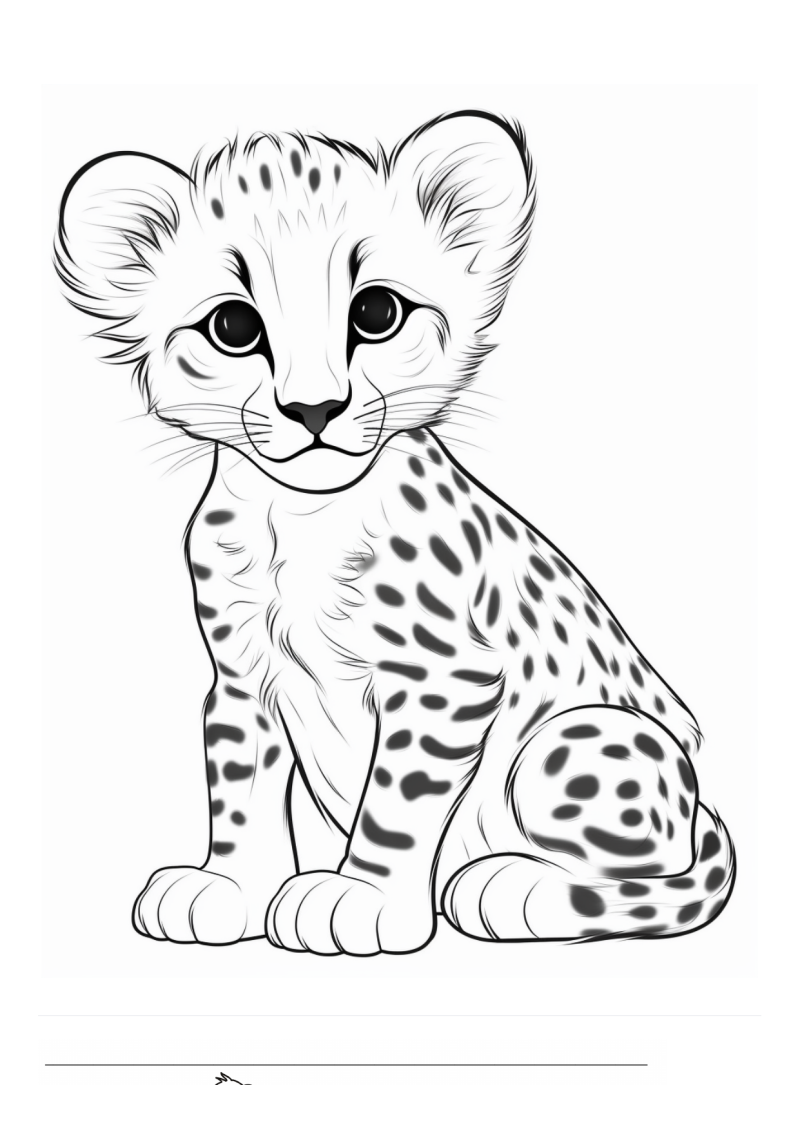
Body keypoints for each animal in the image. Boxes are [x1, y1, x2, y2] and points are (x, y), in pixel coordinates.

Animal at [54, 110, 735, 954]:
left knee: (659, 871)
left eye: (375, 313)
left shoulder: (448, 678)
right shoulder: (245, 677)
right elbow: (239, 785)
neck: (298, 520)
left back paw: (510, 883)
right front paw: (230, 886)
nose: (314, 408)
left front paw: (359, 896)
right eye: (233, 327)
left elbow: (396, 798)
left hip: (570, 744)